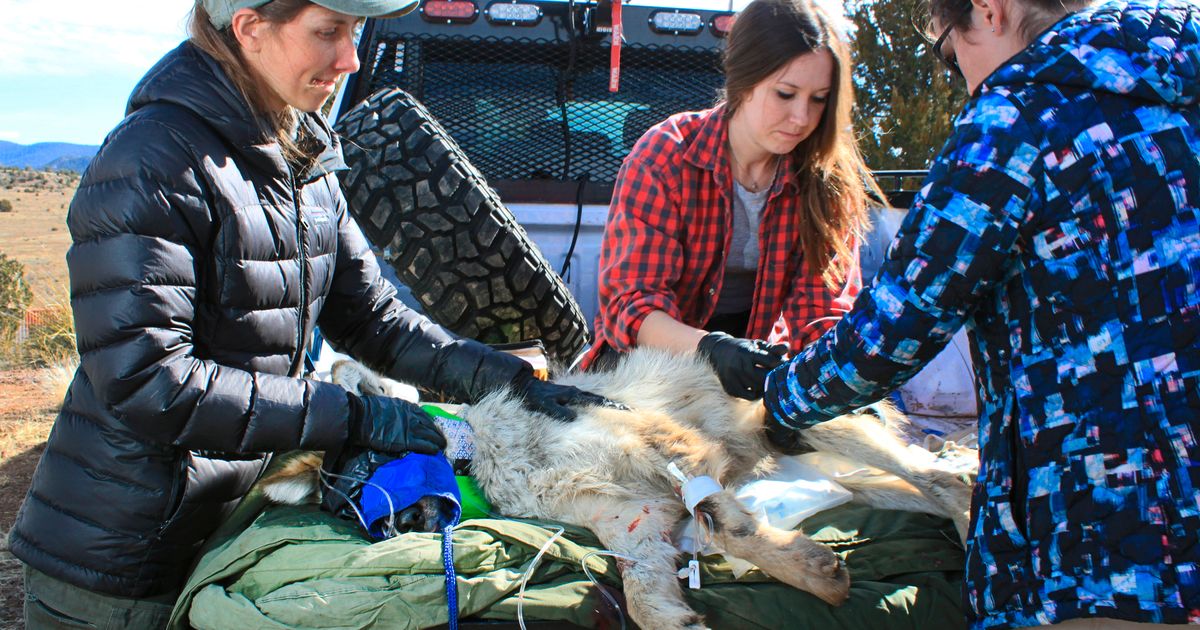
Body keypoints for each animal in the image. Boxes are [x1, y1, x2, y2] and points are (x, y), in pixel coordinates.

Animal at [265, 348, 974, 628]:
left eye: (367, 463)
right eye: (347, 510)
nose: (391, 529)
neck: (488, 451)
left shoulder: (668, 449)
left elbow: (728, 526)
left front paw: (809, 575)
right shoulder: (633, 521)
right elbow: (643, 598)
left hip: (816, 424)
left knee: (942, 477)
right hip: (854, 479)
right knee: (930, 488)